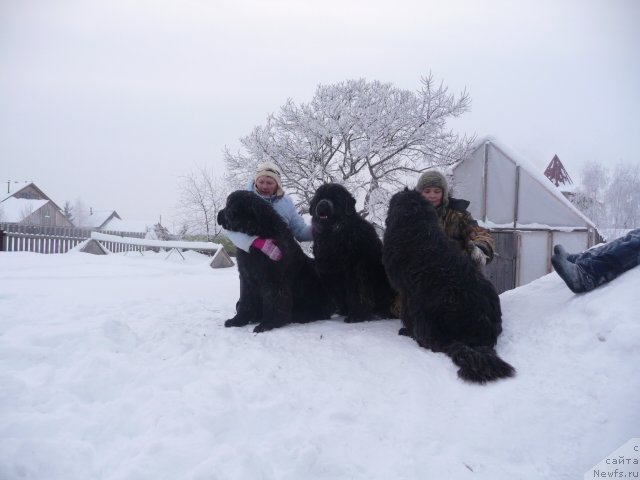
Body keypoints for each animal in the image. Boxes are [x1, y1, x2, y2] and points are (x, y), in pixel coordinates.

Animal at [216, 189, 332, 332]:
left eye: (229, 206)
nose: (219, 214)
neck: (256, 232)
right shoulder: (247, 277)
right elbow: (245, 300)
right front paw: (238, 320)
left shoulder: (273, 279)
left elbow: (273, 301)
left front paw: (268, 324)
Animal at [310, 183, 396, 322]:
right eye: (319, 197)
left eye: (335, 199)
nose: (322, 204)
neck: (332, 236)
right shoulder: (329, 272)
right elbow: (338, 295)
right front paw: (343, 311)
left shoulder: (354, 270)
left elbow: (355, 294)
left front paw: (356, 316)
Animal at [380, 189, 516, 384]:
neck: (417, 226)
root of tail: (477, 339)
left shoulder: (407, 293)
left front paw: (405, 327)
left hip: (424, 314)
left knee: (432, 342)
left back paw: (410, 333)